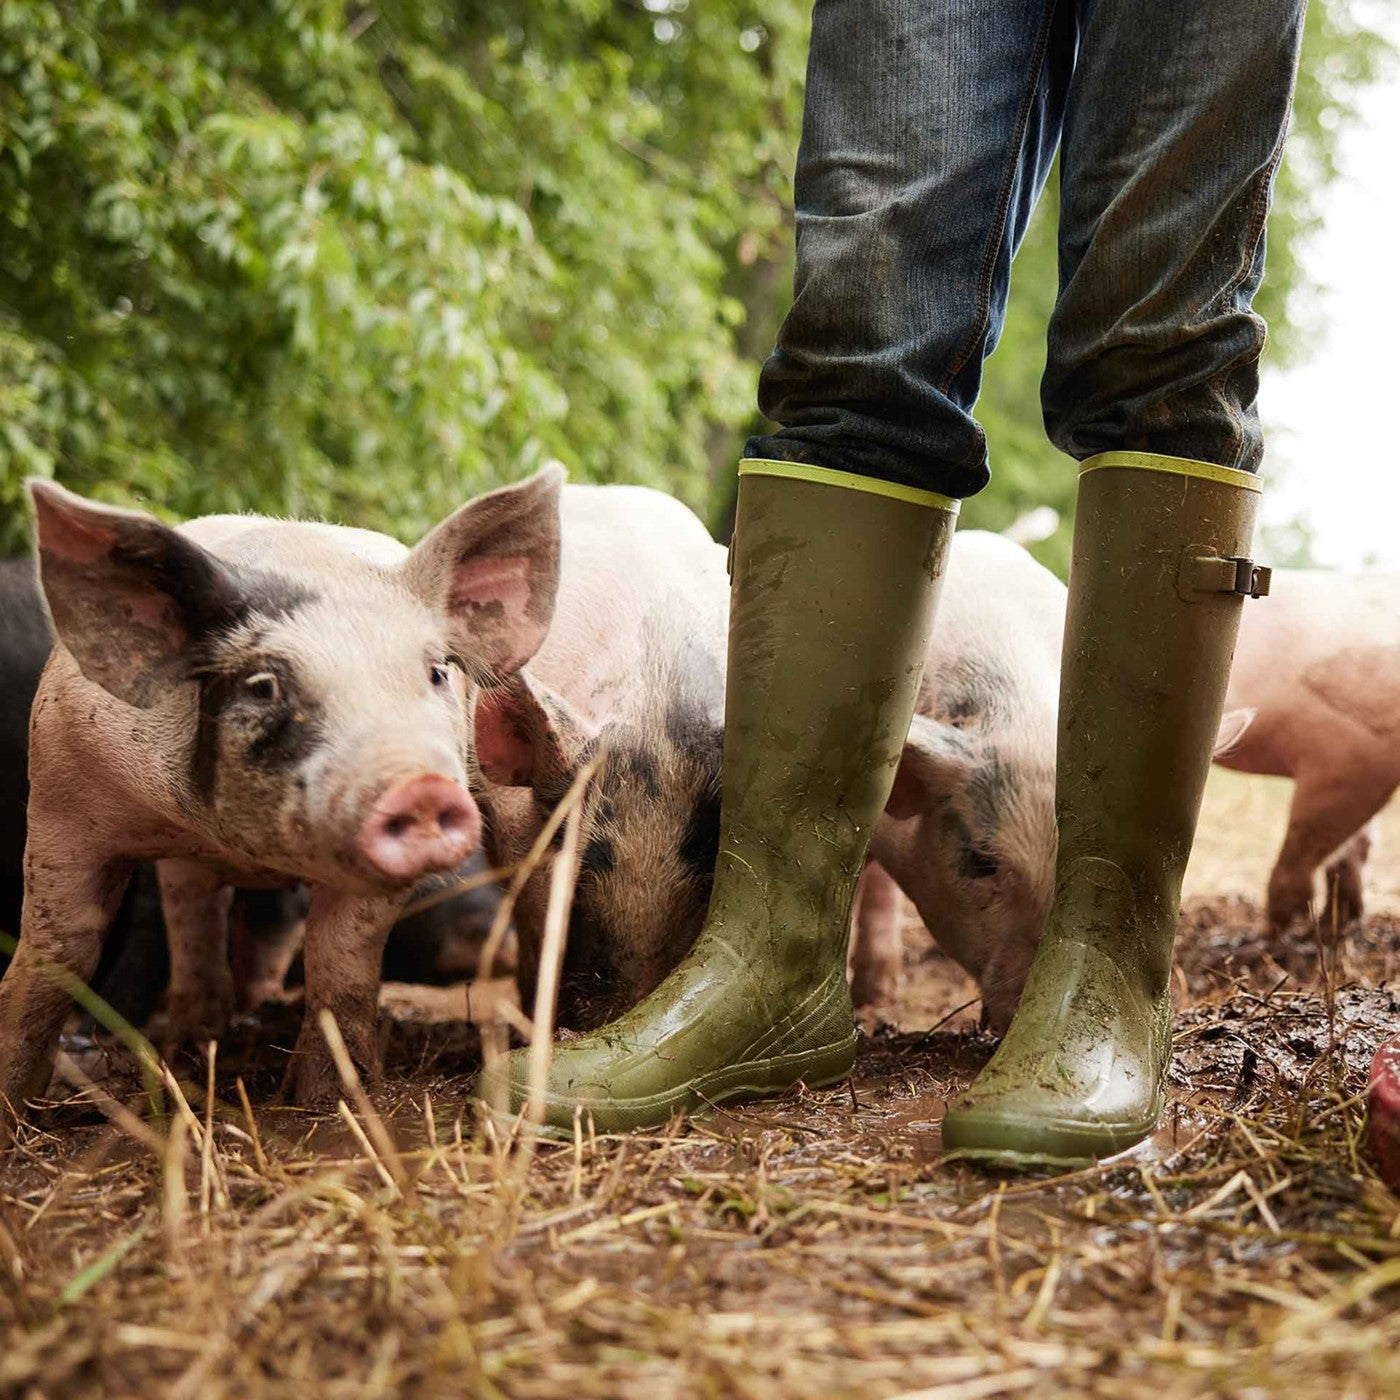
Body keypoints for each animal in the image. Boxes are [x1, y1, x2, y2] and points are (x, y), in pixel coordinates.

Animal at [0, 464, 557, 1131]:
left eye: (438, 673)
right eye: (264, 686)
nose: (419, 787)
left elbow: (341, 963)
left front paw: (328, 1100)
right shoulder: (61, 791)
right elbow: (57, 953)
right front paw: (11, 1107)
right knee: (192, 914)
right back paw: (195, 1036)